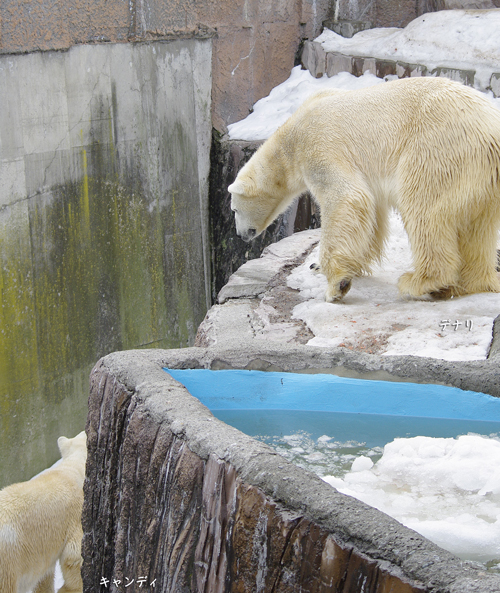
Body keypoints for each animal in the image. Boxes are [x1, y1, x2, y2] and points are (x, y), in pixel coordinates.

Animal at [229, 76, 500, 300]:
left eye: (233, 210)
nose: (241, 235)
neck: (289, 140)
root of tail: (491, 130)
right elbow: (370, 214)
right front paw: (328, 266)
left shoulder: (318, 146)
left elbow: (346, 198)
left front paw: (336, 285)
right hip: (482, 179)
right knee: (478, 229)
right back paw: (469, 283)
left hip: (439, 149)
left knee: (424, 209)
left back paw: (420, 282)